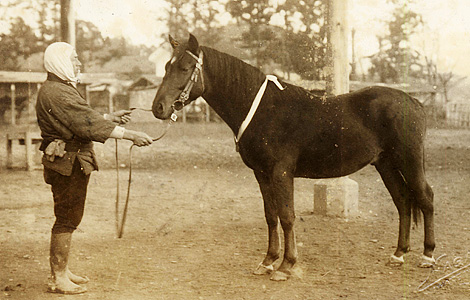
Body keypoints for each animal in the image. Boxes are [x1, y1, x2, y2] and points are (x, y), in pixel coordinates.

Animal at [152, 35, 436, 282]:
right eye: (166, 66)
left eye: (185, 67)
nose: (158, 108)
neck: (264, 110)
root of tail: (415, 102)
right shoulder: (262, 174)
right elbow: (271, 216)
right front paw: (268, 261)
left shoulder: (281, 173)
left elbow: (287, 217)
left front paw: (286, 266)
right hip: (385, 164)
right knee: (402, 201)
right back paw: (398, 255)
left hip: (408, 161)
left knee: (425, 198)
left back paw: (428, 256)